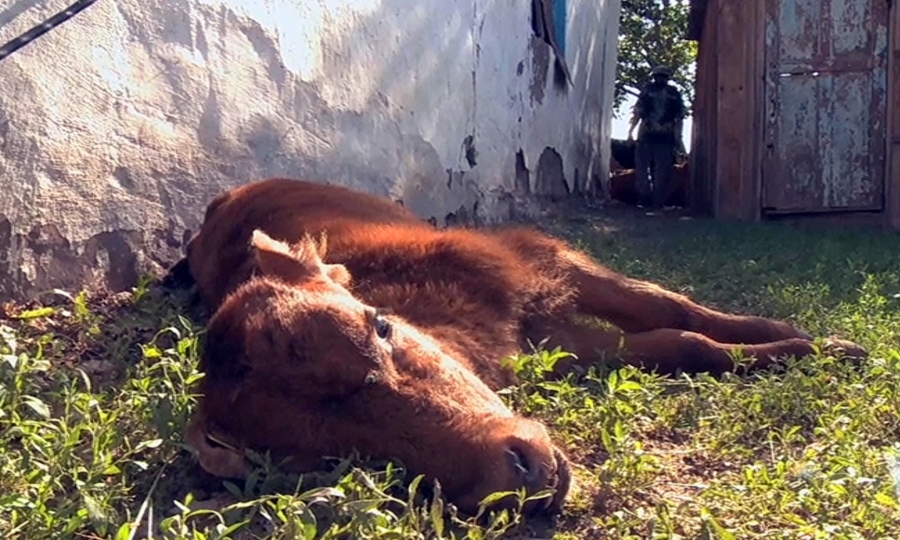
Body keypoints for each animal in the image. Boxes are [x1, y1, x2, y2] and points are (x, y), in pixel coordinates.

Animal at [169, 177, 864, 516]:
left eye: (381, 327)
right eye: (343, 459)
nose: (522, 473)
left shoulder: (536, 264)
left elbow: (670, 310)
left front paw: (820, 342)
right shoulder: (556, 342)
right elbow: (675, 342)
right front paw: (809, 346)